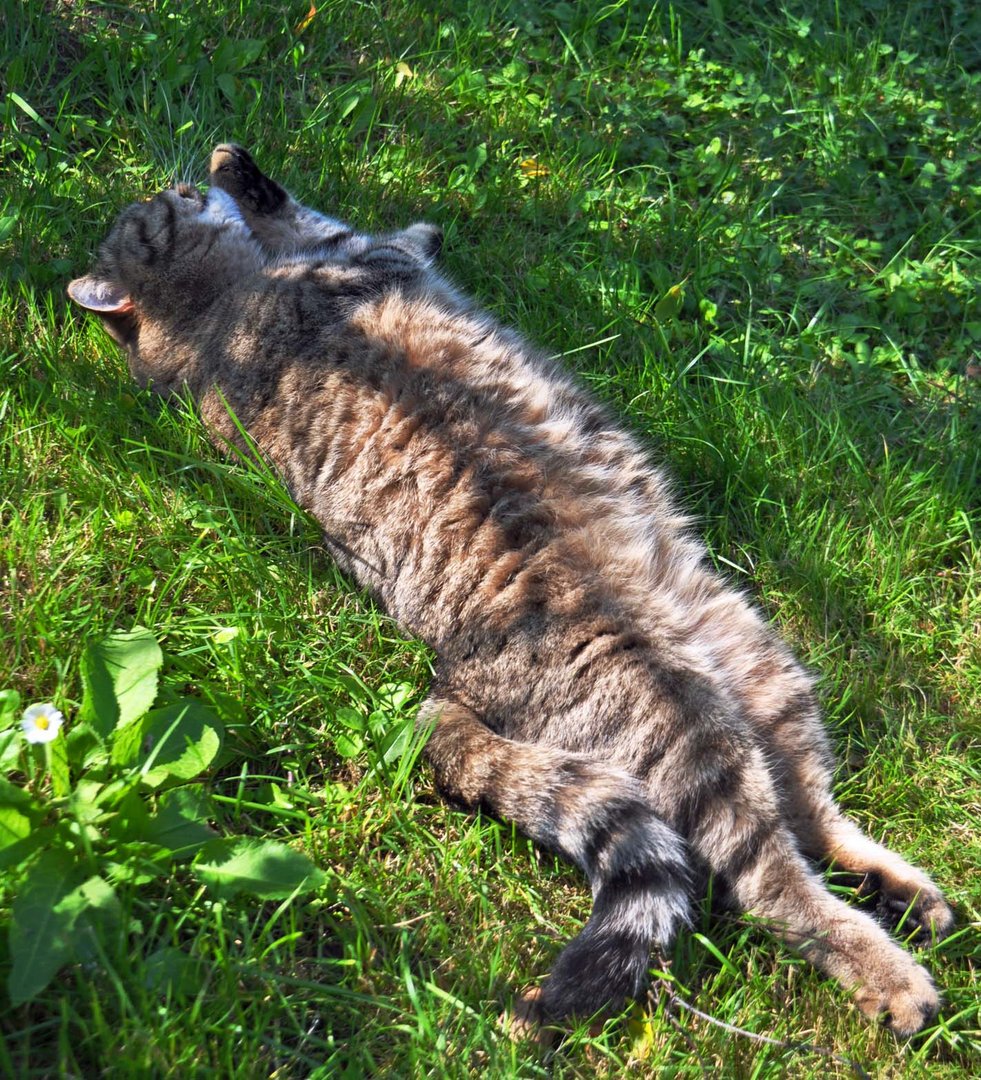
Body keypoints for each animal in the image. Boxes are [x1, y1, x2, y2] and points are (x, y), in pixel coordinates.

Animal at [66, 145, 950, 1036]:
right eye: (168, 206)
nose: (186, 176)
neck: (209, 326)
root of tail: (444, 685)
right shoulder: (354, 265)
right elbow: (334, 226)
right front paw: (263, 185)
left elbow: (319, 224)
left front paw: (240, 172)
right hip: (683, 723)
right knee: (768, 876)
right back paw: (886, 971)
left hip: (757, 660)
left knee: (811, 809)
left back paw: (904, 892)